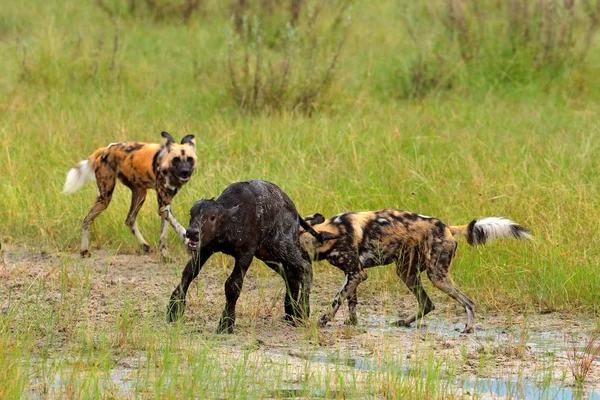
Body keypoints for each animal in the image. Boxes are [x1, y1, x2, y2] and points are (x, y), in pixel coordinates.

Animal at [62, 131, 197, 260]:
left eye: (190, 159)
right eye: (176, 159)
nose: (185, 171)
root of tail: (106, 149)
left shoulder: (165, 205)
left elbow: (163, 236)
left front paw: (165, 256)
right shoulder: (164, 207)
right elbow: (180, 229)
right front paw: (187, 241)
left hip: (140, 194)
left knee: (129, 220)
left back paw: (144, 245)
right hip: (105, 198)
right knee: (87, 219)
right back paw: (84, 251)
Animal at [166, 180, 324, 332]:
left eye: (212, 217)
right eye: (191, 214)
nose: (192, 232)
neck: (231, 223)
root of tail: (295, 212)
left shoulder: (245, 254)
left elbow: (232, 286)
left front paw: (226, 323)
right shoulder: (205, 249)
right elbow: (189, 272)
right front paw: (174, 309)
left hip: (282, 246)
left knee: (305, 266)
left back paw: (303, 311)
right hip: (269, 255)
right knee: (291, 274)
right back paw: (291, 313)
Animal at [302, 211, 532, 332]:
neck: (332, 233)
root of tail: (447, 228)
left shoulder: (356, 274)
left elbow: (336, 301)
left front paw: (323, 320)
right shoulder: (354, 274)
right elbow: (351, 302)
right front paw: (352, 322)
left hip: (437, 277)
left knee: (469, 302)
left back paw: (468, 328)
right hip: (407, 273)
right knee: (428, 304)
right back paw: (404, 322)